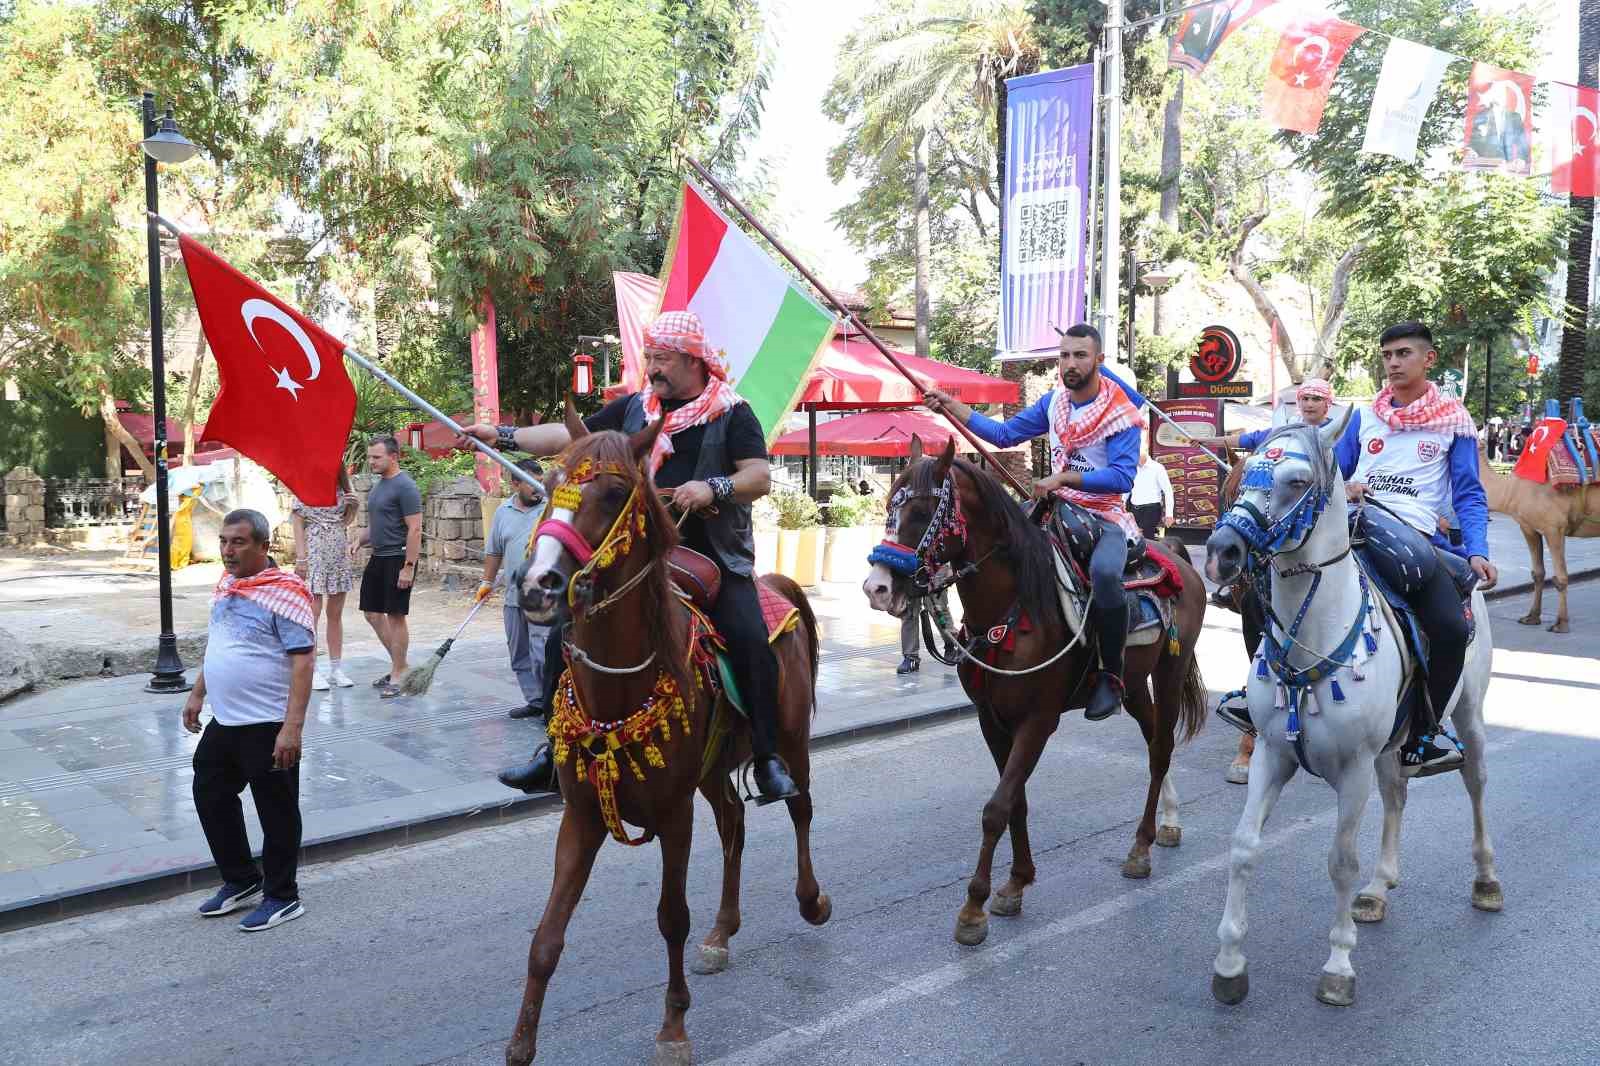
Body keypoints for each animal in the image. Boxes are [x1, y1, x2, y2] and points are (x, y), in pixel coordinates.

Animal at [505, 416, 832, 1062]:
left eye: (613, 495)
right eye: (549, 484)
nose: (538, 585)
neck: (618, 688)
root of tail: (776, 582)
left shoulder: (674, 815)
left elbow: (671, 917)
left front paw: (674, 1027)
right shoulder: (581, 815)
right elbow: (546, 937)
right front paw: (521, 1044)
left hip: (789, 741)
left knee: (801, 809)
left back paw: (811, 900)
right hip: (712, 771)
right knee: (734, 823)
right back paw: (722, 933)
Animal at [864, 435, 1203, 941]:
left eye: (923, 511)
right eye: (889, 504)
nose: (877, 587)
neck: (1013, 607)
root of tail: (1177, 553)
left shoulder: (1038, 721)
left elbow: (996, 807)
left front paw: (974, 908)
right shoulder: (992, 720)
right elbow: (1015, 802)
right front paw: (1016, 883)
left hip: (1170, 670)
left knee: (1161, 749)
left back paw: (1140, 848)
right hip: (1132, 684)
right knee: (1152, 746)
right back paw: (1168, 820)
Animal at [1203, 406, 1497, 1005]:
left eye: (1297, 482)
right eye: (1243, 479)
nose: (1222, 553)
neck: (1314, 632)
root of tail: (1464, 564)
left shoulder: (1354, 769)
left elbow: (1340, 861)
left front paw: (1338, 965)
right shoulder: (1272, 754)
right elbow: (1243, 846)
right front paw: (1230, 963)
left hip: (1468, 716)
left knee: (1476, 782)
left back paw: (1485, 879)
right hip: (1395, 743)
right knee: (1398, 793)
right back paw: (1379, 887)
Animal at [1472, 438, 1600, 630]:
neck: (1511, 490)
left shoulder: (1554, 527)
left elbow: (1561, 577)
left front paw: (1561, 624)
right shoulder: (1528, 527)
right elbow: (1538, 573)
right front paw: (1531, 617)